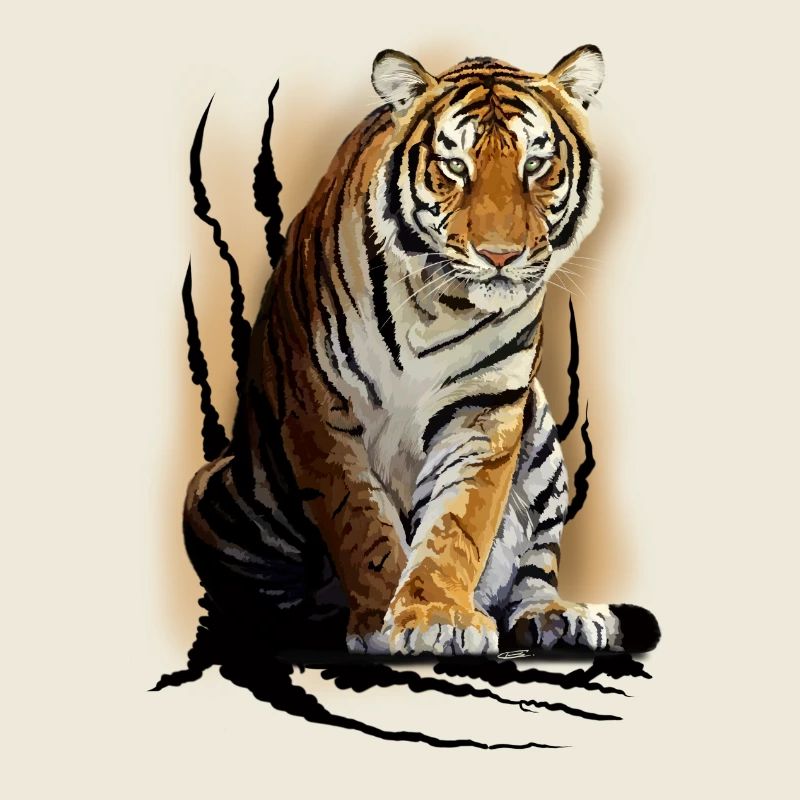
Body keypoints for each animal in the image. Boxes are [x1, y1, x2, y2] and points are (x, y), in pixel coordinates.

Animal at [183, 44, 660, 657]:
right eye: (455, 166)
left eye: (535, 165)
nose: (500, 255)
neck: (439, 307)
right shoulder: (320, 410)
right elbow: (361, 521)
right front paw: (381, 623)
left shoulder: (484, 412)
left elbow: (460, 522)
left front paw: (438, 615)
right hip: (217, 492)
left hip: (545, 444)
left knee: (535, 569)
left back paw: (561, 618)